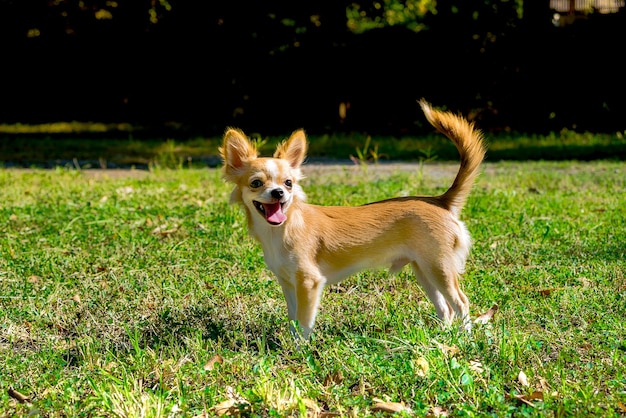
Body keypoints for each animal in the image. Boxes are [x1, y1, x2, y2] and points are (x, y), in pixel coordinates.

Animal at [219, 100, 488, 340]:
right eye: (256, 183)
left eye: (288, 183)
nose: (278, 193)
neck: (283, 228)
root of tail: (440, 201)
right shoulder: (289, 284)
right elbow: (293, 320)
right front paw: (291, 345)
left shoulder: (308, 282)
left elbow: (304, 322)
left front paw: (301, 350)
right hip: (424, 270)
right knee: (446, 308)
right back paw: (442, 338)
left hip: (438, 268)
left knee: (461, 303)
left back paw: (464, 338)